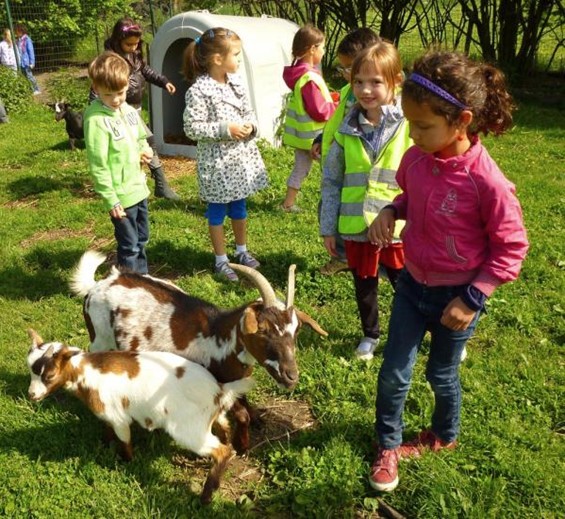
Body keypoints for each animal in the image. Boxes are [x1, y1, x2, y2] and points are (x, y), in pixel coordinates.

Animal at [27, 330, 252, 504]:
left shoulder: (118, 417)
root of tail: (219, 390)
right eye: (31, 370)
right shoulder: (108, 414)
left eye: (49, 376)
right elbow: (107, 430)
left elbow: (125, 441)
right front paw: (104, 445)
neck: (87, 372)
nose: (31, 395)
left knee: (222, 451)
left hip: (188, 429)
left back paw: (205, 498)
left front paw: (127, 462)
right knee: (224, 429)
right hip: (210, 418)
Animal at [70, 251, 326, 450]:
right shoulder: (215, 384)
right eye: (262, 330)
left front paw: (254, 420)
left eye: (297, 330)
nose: (290, 376)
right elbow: (239, 415)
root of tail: (98, 285)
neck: (217, 338)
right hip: (100, 339)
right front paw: (241, 444)